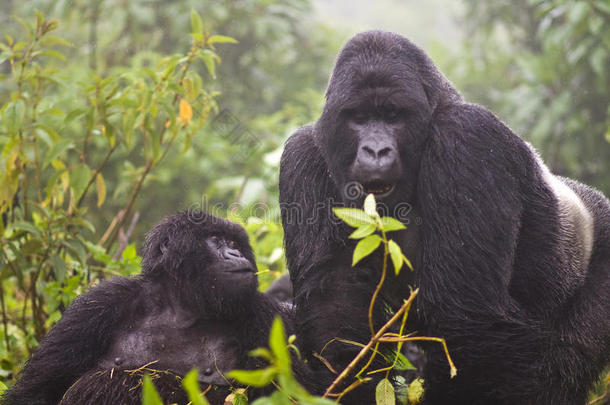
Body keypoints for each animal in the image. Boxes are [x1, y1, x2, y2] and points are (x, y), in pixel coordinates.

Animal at [2, 210, 292, 402]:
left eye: (233, 243)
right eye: (216, 240)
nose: (236, 254)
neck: (180, 308)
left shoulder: (263, 316)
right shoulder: (96, 306)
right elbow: (36, 393)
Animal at [280, 31, 608, 404]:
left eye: (394, 115)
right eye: (359, 117)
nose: (376, 151)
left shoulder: (466, 137)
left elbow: (468, 317)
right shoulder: (304, 154)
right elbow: (334, 308)